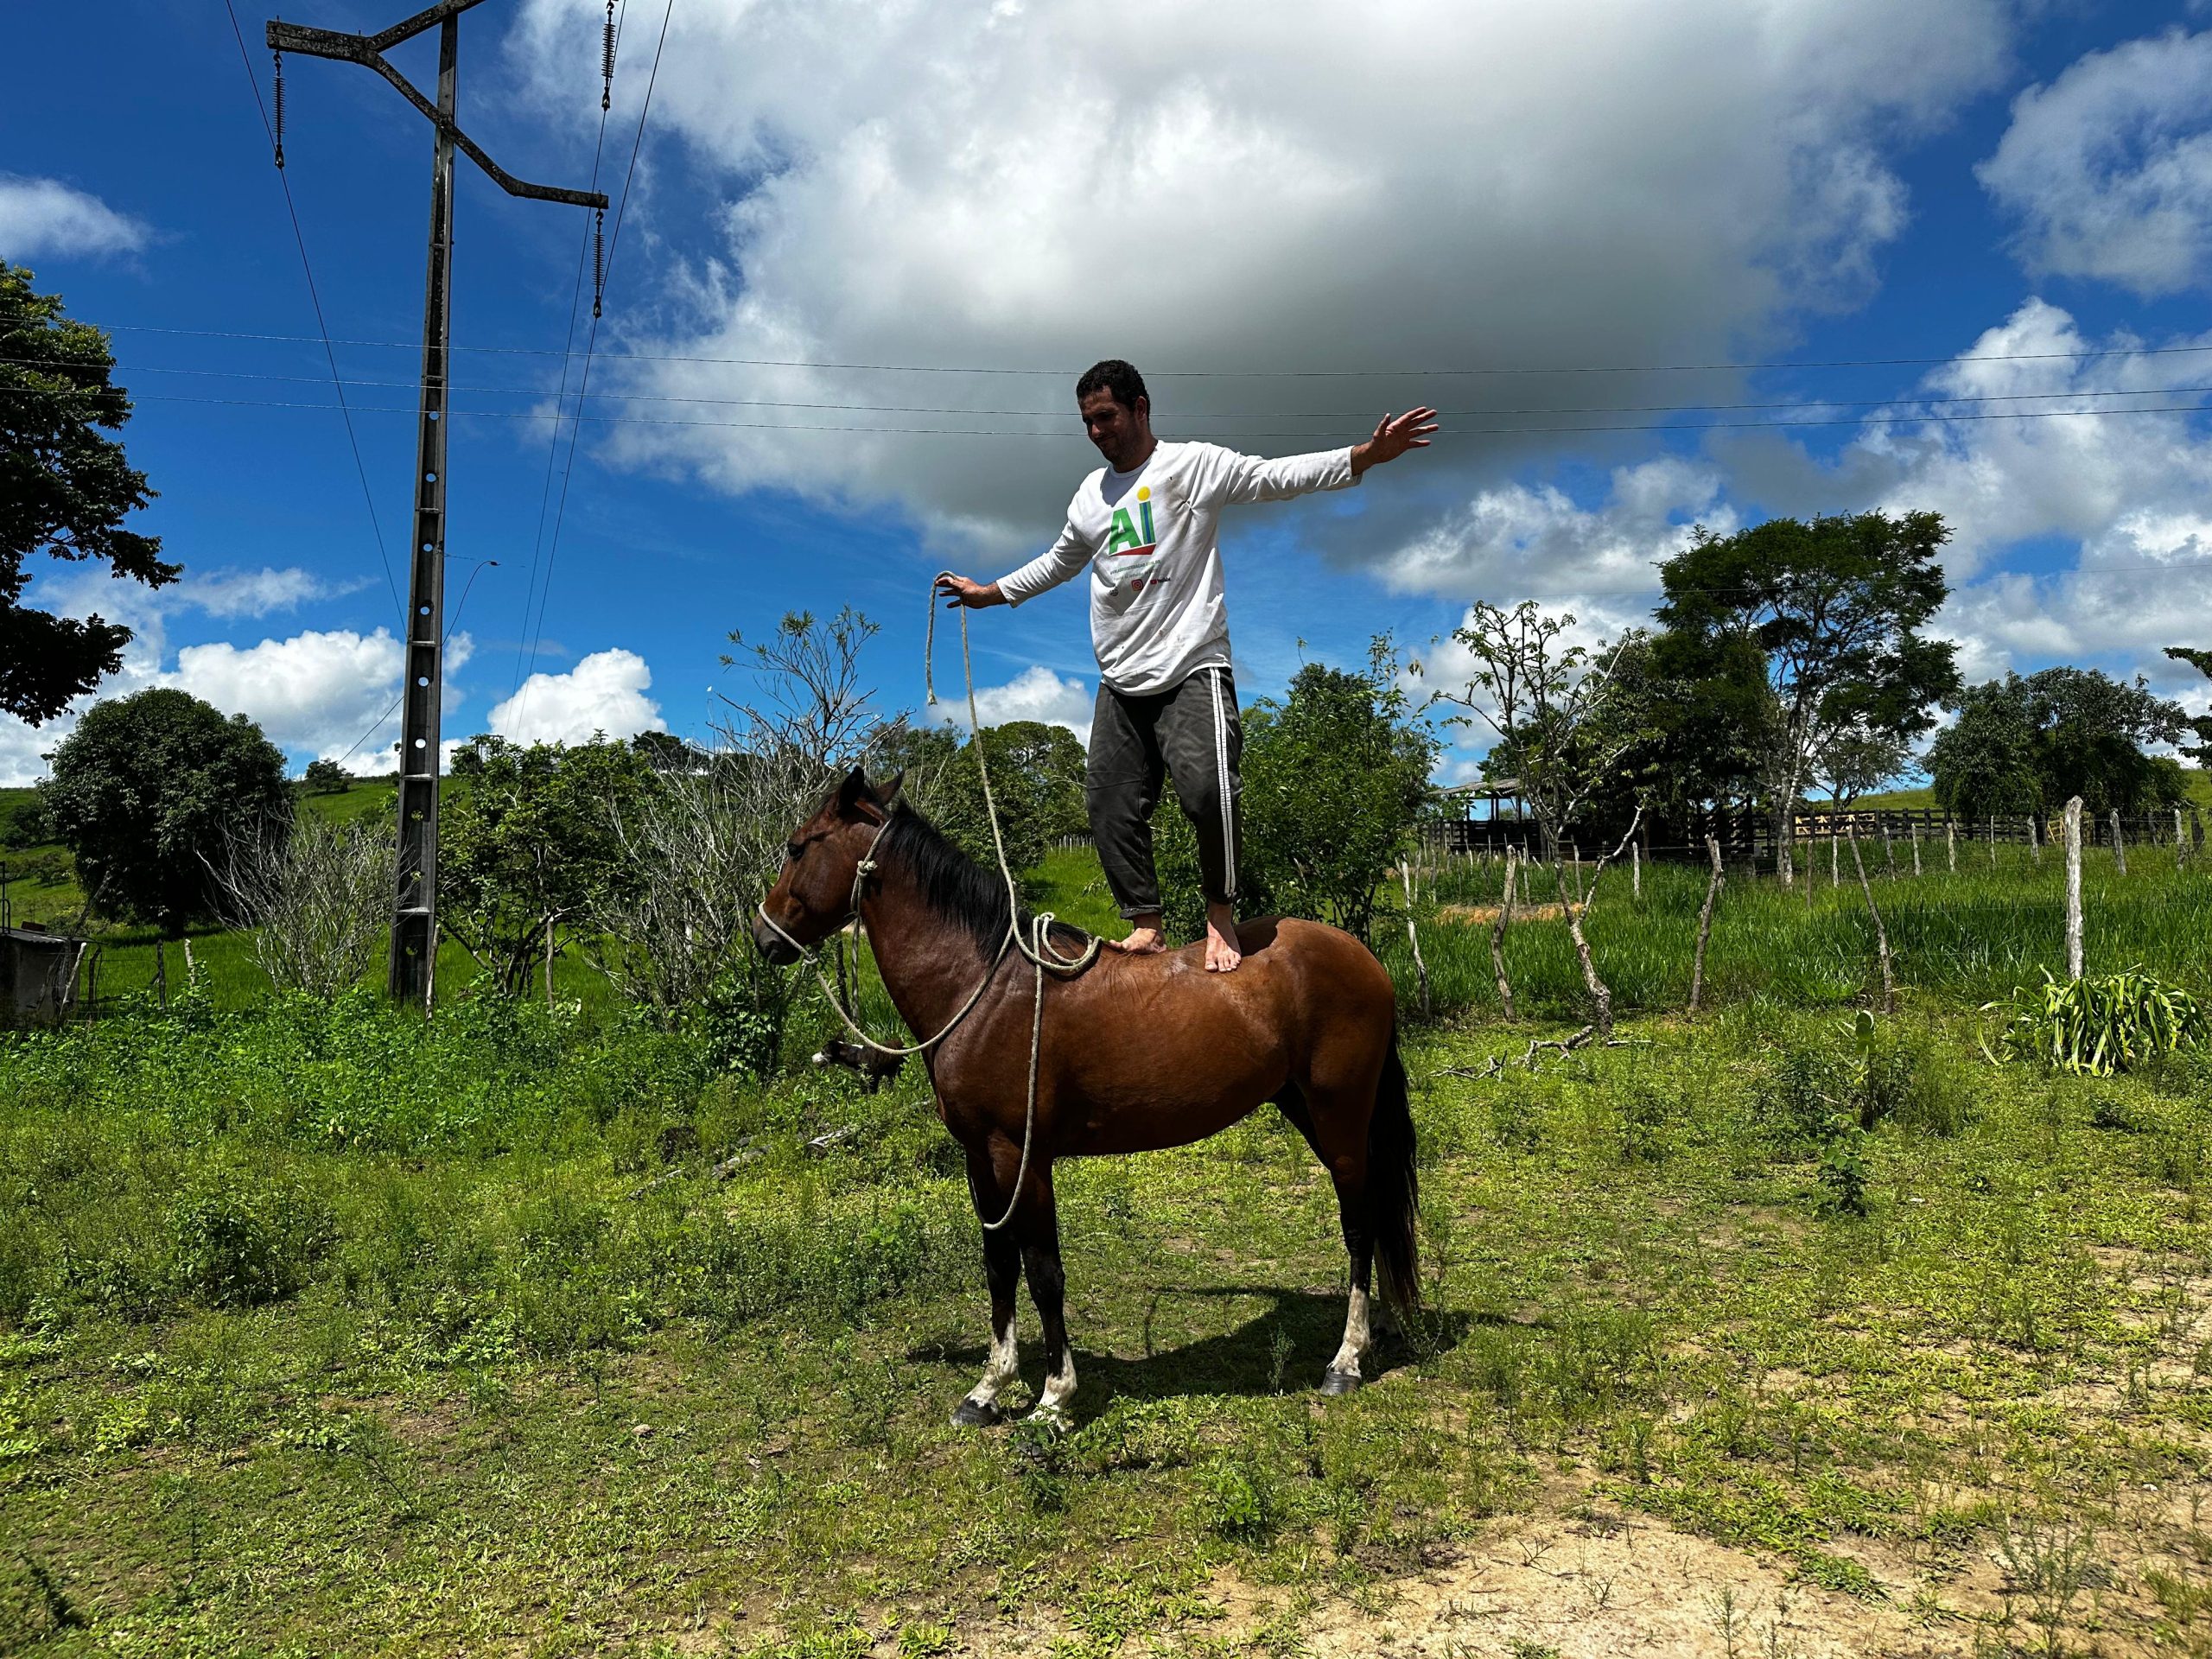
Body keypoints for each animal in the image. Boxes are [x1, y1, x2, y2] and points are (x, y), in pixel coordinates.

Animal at [760, 774, 1415, 1424]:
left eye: (798, 847)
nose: (765, 936)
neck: (984, 987)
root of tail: (1363, 957)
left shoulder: (1021, 1158)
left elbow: (1043, 1272)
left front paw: (1054, 1397)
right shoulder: (979, 1158)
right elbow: (998, 1263)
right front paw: (989, 1387)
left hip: (1338, 1112)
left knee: (1359, 1222)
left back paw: (1345, 1360)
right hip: (1307, 1108)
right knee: (1378, 1209)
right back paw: (1381, 1328)